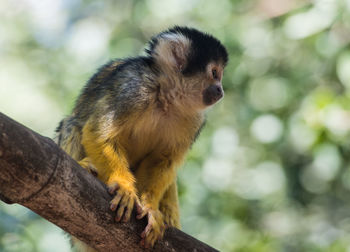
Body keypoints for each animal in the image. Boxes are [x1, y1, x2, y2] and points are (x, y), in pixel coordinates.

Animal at [56, 26, 228, 250]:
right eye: (215, 73)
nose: (221, 90)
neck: (166, 98)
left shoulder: (194, 120)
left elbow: (163, 160)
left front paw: (150, 208)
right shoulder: (133, 88)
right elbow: (98, 133)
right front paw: (123, 186)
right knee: (72, 123)